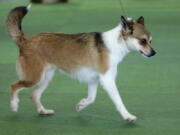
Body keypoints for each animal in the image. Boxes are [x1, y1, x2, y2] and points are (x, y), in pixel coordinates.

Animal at [6, 4, 156, 122]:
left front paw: (81, 105)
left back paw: (43, 111)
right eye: (142, 41)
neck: (115, 43)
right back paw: (14, 105)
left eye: (150, 40)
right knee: (14, 86)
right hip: (34, 78)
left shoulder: (94, 80)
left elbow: (91, 98)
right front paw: (127, 116)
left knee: (34, 95)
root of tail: (25, 40)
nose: (154, 53)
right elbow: (119, 101)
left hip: (45, 78)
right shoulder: (107, 80)